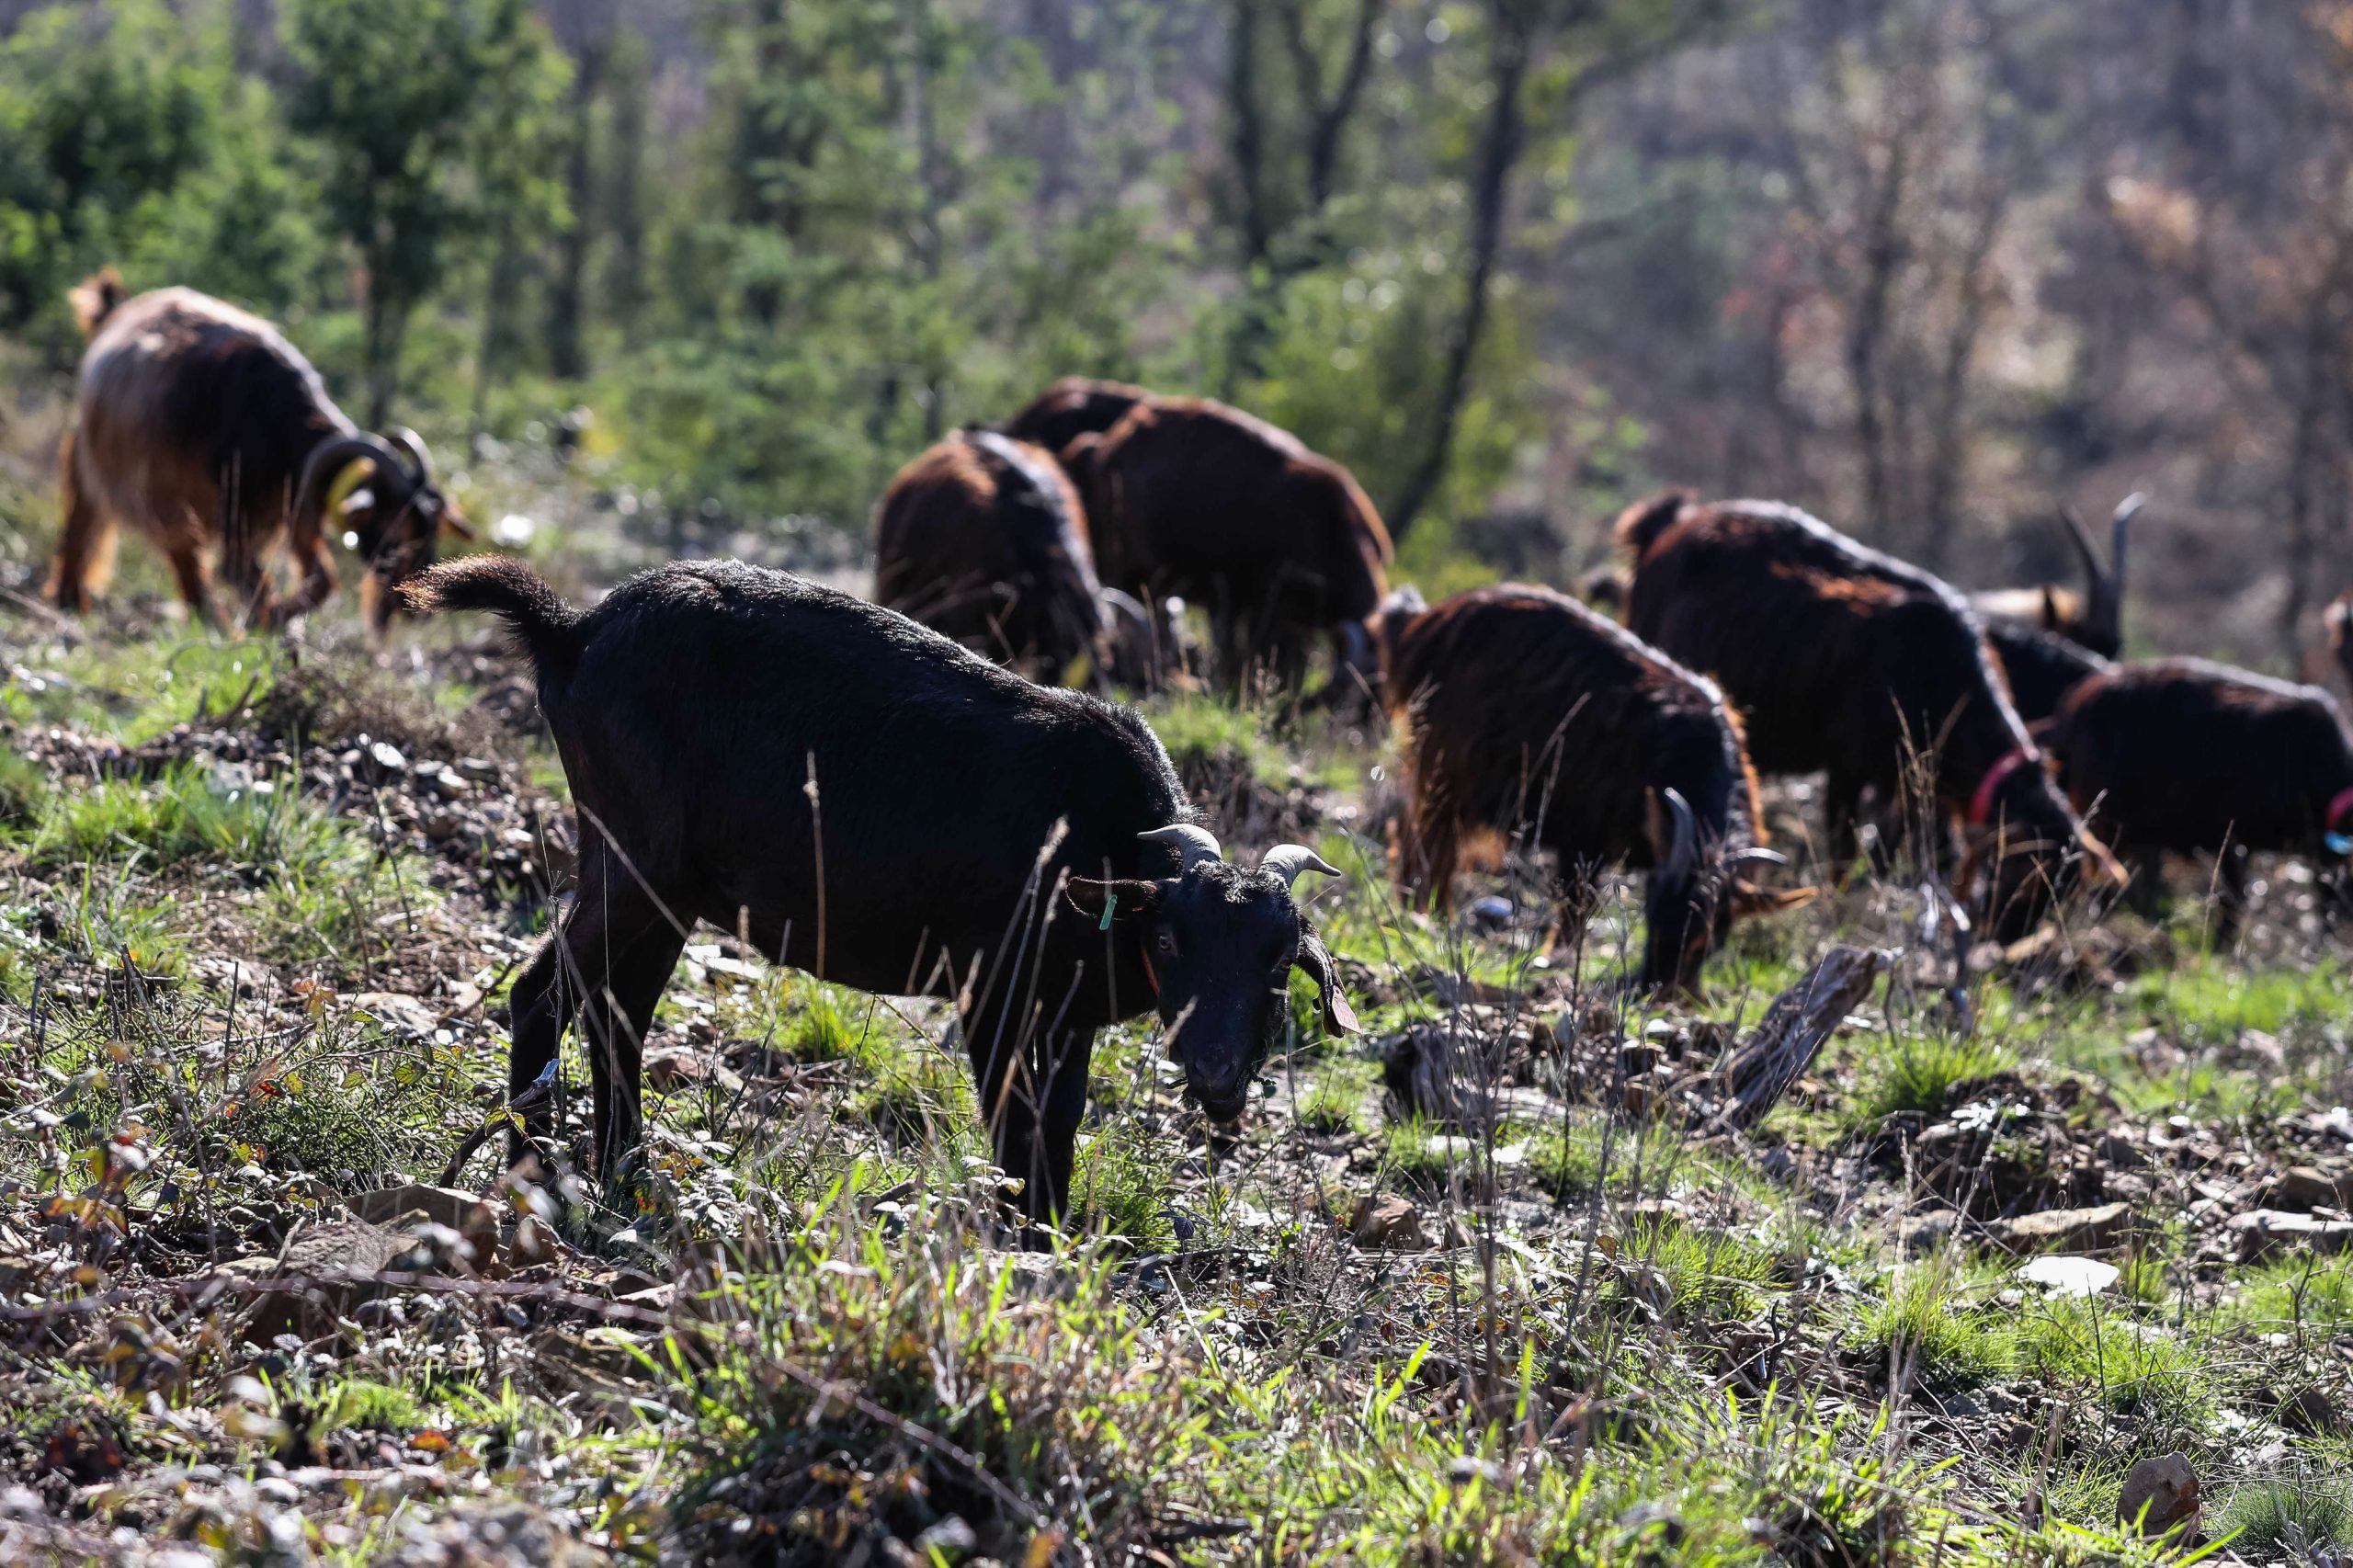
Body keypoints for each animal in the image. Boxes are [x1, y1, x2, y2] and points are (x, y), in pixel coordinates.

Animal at [50, 271, 467, 630]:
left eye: (432, 532)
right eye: (397, 530)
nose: (419, 609)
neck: (273, 423)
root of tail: (113, 315)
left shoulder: (293, 508)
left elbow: (321, 580)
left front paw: (275, 615)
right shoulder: (237, 511)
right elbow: (244, 572)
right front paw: (267, 619)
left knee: (182, 555)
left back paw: (206, 617)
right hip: (92, 461)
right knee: (83, 523)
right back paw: (70, 602)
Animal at [401, 556, 1358, 1219]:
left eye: (1281, 961)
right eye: (1168, 937)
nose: (1220, 1077)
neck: (1101, 840)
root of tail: (571, 630)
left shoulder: (1066, 1011)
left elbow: (1059, 1125)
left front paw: (1052, 1236)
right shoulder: (992, 984)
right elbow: (1016, 1124)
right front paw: (1024, 1242)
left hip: (668, 886)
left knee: (616, 1010)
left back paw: (621, 1173)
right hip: (633, 853)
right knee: (544, 993)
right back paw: (537, 1175)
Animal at [1382, 584, 1809, 991]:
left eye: (1709, 936)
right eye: (1653, 913)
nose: (1655, 988)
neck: (1684, 752)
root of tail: (1426, 623)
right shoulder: (1586, 830)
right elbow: (1577, 901)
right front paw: (1559, 957)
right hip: (1447, 764)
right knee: (1427, 838)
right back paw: (1429, 913)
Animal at [1617, 491, 2122, 938]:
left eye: (2063, 891)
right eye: (2024, 873)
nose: (2002, 941)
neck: (1936, 671)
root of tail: (1671, 525)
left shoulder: (1913, 782)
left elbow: (1904, 852)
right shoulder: (1848, 765)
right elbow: (1843, 852)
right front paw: (1833, 917)